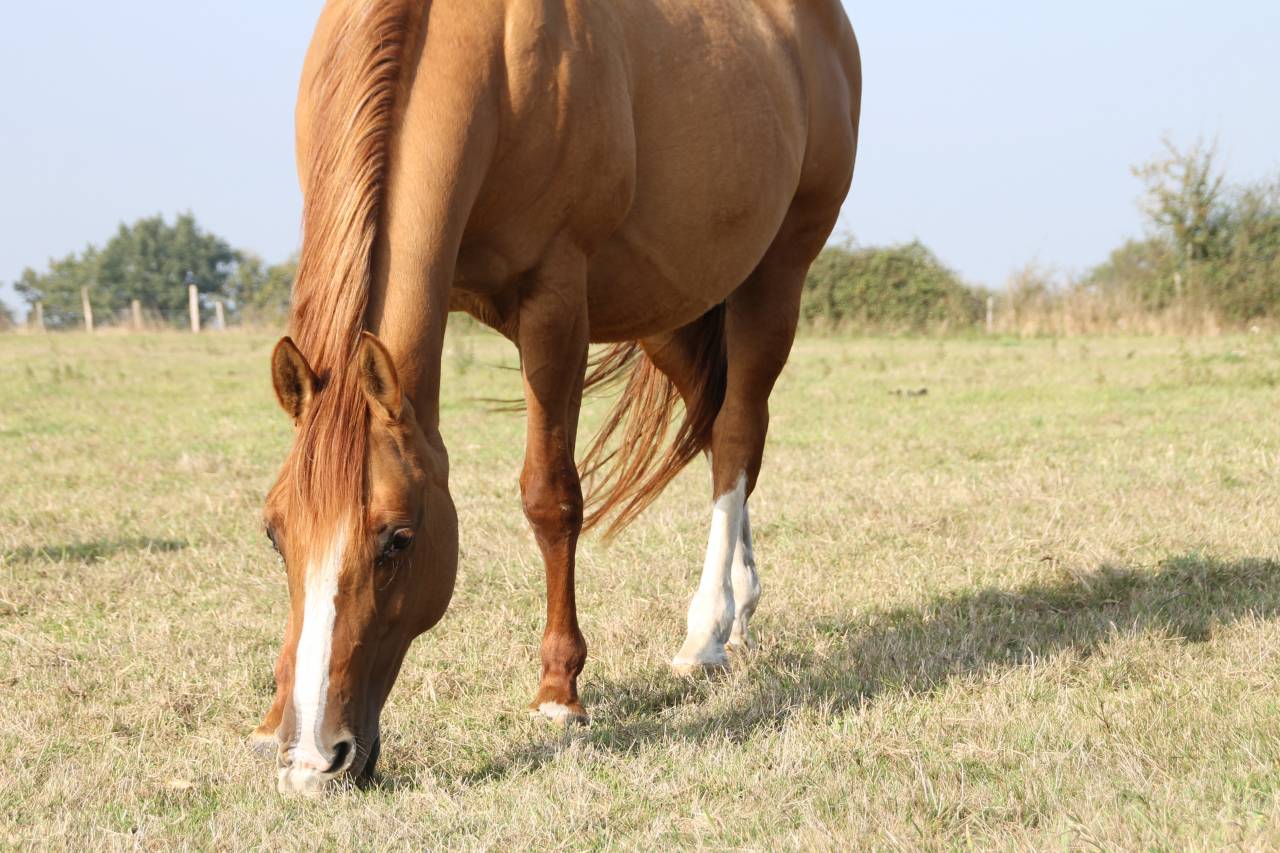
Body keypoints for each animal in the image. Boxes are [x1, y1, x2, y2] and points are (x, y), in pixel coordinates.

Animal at [252, 0, 861, 795]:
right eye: (274, 533)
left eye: (399, 539)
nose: (317, 760)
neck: (487, 59)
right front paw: (271, 720)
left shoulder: (555, 304)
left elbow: (552, 497)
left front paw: (559, 692)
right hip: (669, 306)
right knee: (717, 427)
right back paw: (742, 609)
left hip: (775, 278)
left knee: (735, 435)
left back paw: (706, 631)